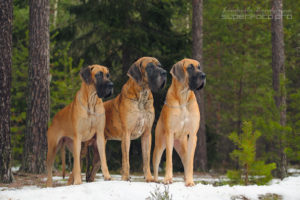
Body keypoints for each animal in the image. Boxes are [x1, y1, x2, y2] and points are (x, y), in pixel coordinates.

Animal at [152, 58, 206, 187]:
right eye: (190, 67)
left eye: (199, 67)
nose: (203, 75)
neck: (183, 97)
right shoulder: (169, 134)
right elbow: (169, 159)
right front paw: (168, 179)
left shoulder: (193, 135)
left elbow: (190, 163)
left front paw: (190, 181)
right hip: (159, 145)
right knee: (156, 163)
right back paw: (155, 180)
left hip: (183, 147)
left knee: (186, 162)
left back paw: (186, 179)